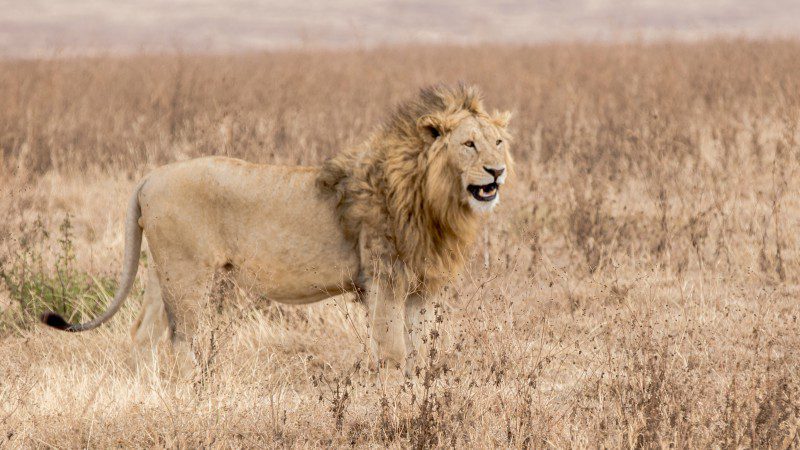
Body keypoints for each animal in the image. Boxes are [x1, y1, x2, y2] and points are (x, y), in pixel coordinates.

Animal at [42, 82, 512, 374]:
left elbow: (420, 352)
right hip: (188, 274)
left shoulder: (420, 287)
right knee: (183, 339)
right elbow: (394, 352)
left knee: (144, 334)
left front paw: (418, 393)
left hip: (165, 271)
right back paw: (189, 395)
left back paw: (149, 394)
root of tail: (150, 176)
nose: (498, 171)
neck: (435, 198)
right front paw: (395, 406)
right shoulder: (383, 278)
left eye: (498, 142)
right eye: (469, 144)